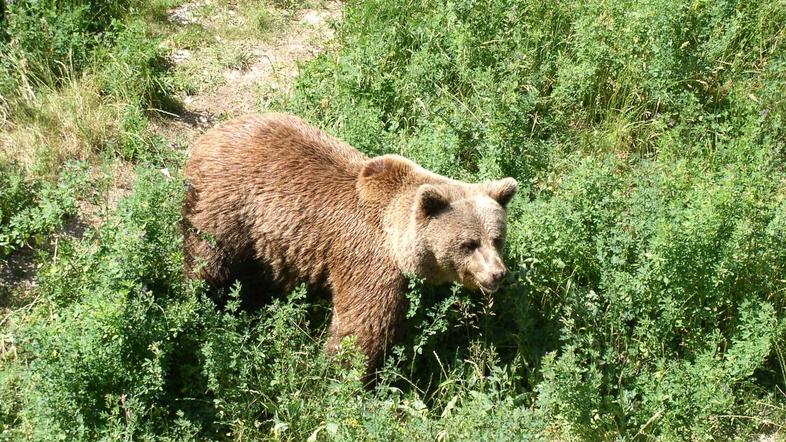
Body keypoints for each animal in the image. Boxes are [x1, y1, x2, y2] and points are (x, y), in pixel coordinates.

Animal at [181, 113, 516, 370]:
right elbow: (364, 325)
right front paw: (344, 370)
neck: (395, 237)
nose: (497, 274)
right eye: (468, 244)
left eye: (497, 239)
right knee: (208, 260)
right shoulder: (369, 260)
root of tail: (207, 136)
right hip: (225, 207)